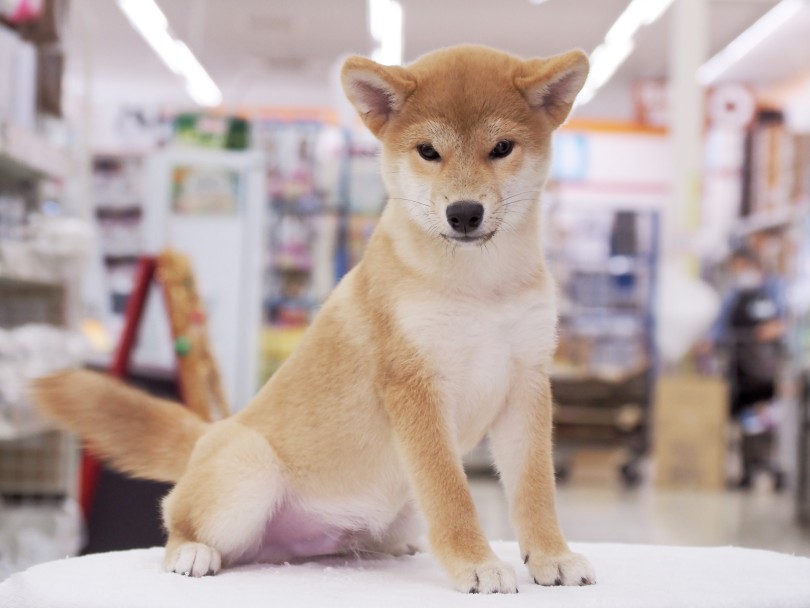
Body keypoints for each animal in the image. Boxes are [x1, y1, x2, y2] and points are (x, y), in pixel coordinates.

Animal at [33, 44, 592, 592]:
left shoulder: (527, 382)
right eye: (428, 152)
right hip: (248, 466)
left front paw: (551, 555)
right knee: (176, 518)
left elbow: (535, 488)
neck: (482, 285)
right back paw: (191, 551)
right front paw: (476, 563)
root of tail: (214, 430)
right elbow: (451, 493)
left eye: (502, 148)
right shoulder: (414, 385)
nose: (464, 213)